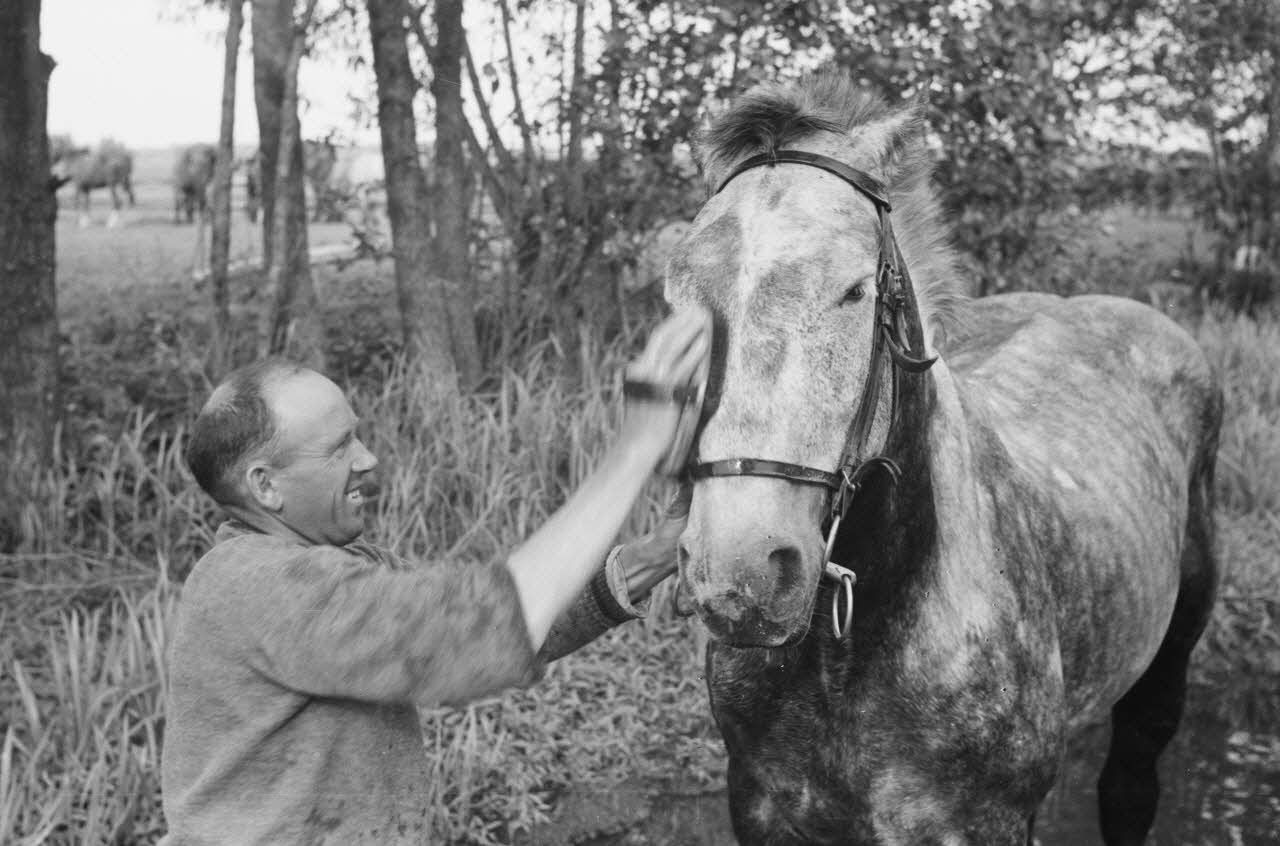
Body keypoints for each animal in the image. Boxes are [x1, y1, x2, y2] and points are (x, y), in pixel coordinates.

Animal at [662, 74, 1222, 845]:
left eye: (855, 291)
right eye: (677, 297)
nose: (738, 574)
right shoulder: (762, 808)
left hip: (1166, 666)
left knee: (1130, 786)